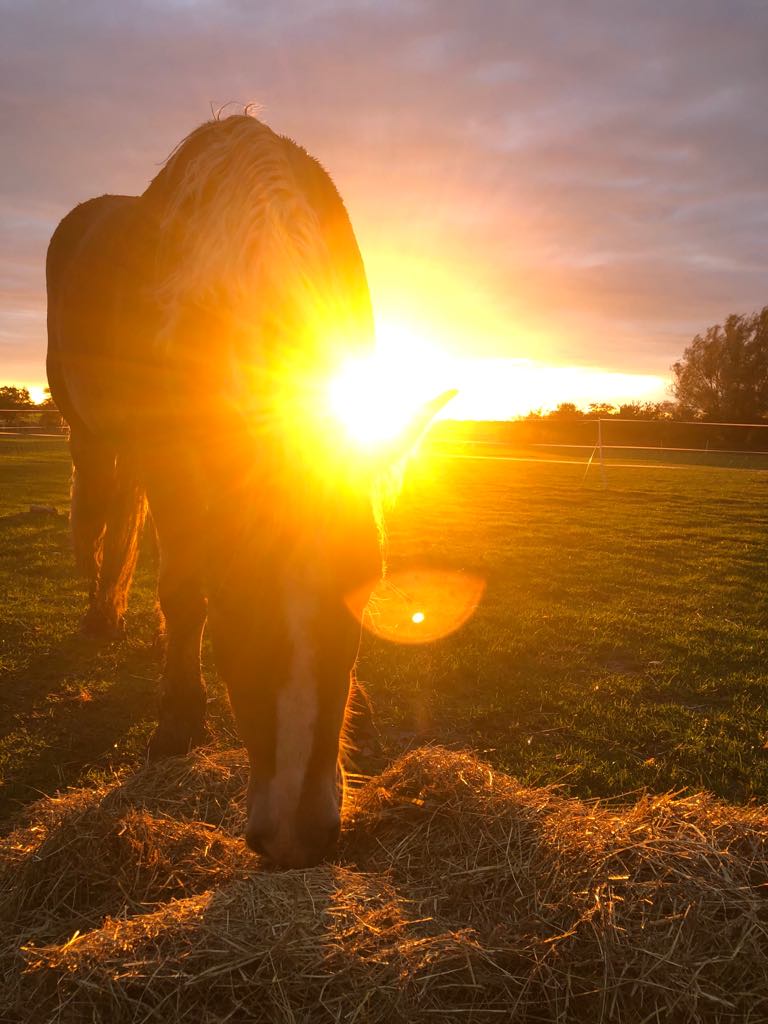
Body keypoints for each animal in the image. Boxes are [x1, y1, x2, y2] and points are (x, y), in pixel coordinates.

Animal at [45, 116, 448, 868]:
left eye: (368, 583)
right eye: (234, 595)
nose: (295, 835)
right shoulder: (172, 460)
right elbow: (184, 591)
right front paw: (178, 720)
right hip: (93, 437)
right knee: (105, 519)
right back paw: (104, 616)